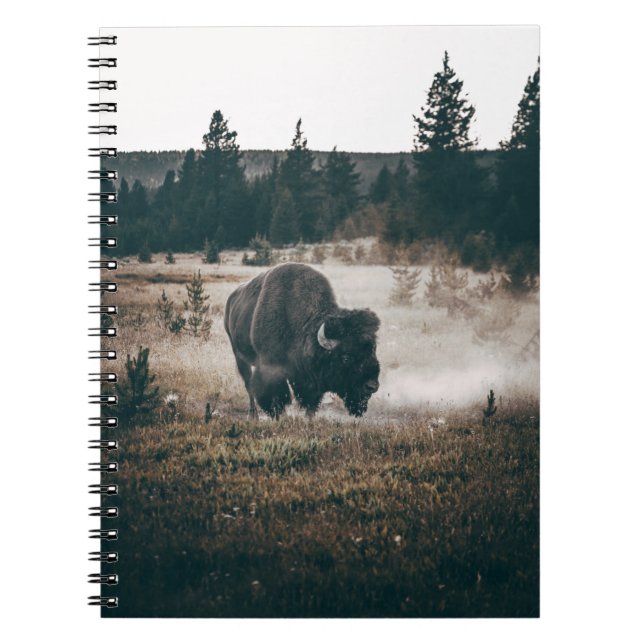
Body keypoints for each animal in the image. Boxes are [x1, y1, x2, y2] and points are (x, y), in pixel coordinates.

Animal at [224, 263, 380, 418]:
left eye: (373, 351)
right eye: (346, 357)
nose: (372, 386)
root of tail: (231, 300)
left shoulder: (310, 382)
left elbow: (311, 404)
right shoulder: (271, 369)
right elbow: (275, 398)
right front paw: (279, 417)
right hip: (239, 356)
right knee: (249, 385)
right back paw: (253, 416)